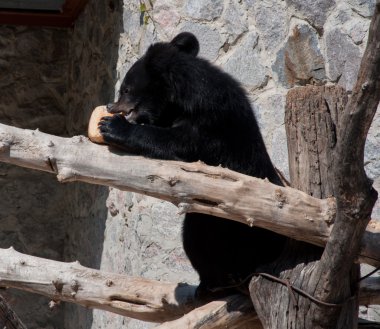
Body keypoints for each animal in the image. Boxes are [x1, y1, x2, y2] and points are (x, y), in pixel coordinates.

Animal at [99, 31, 286, 298]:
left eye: (125, 89)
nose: (110, 106)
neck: (181, 99)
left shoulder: (213, 126)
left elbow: (180, 145)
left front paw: (111, 126)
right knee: (196, 241)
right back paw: (210, 285)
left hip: (246, 231)